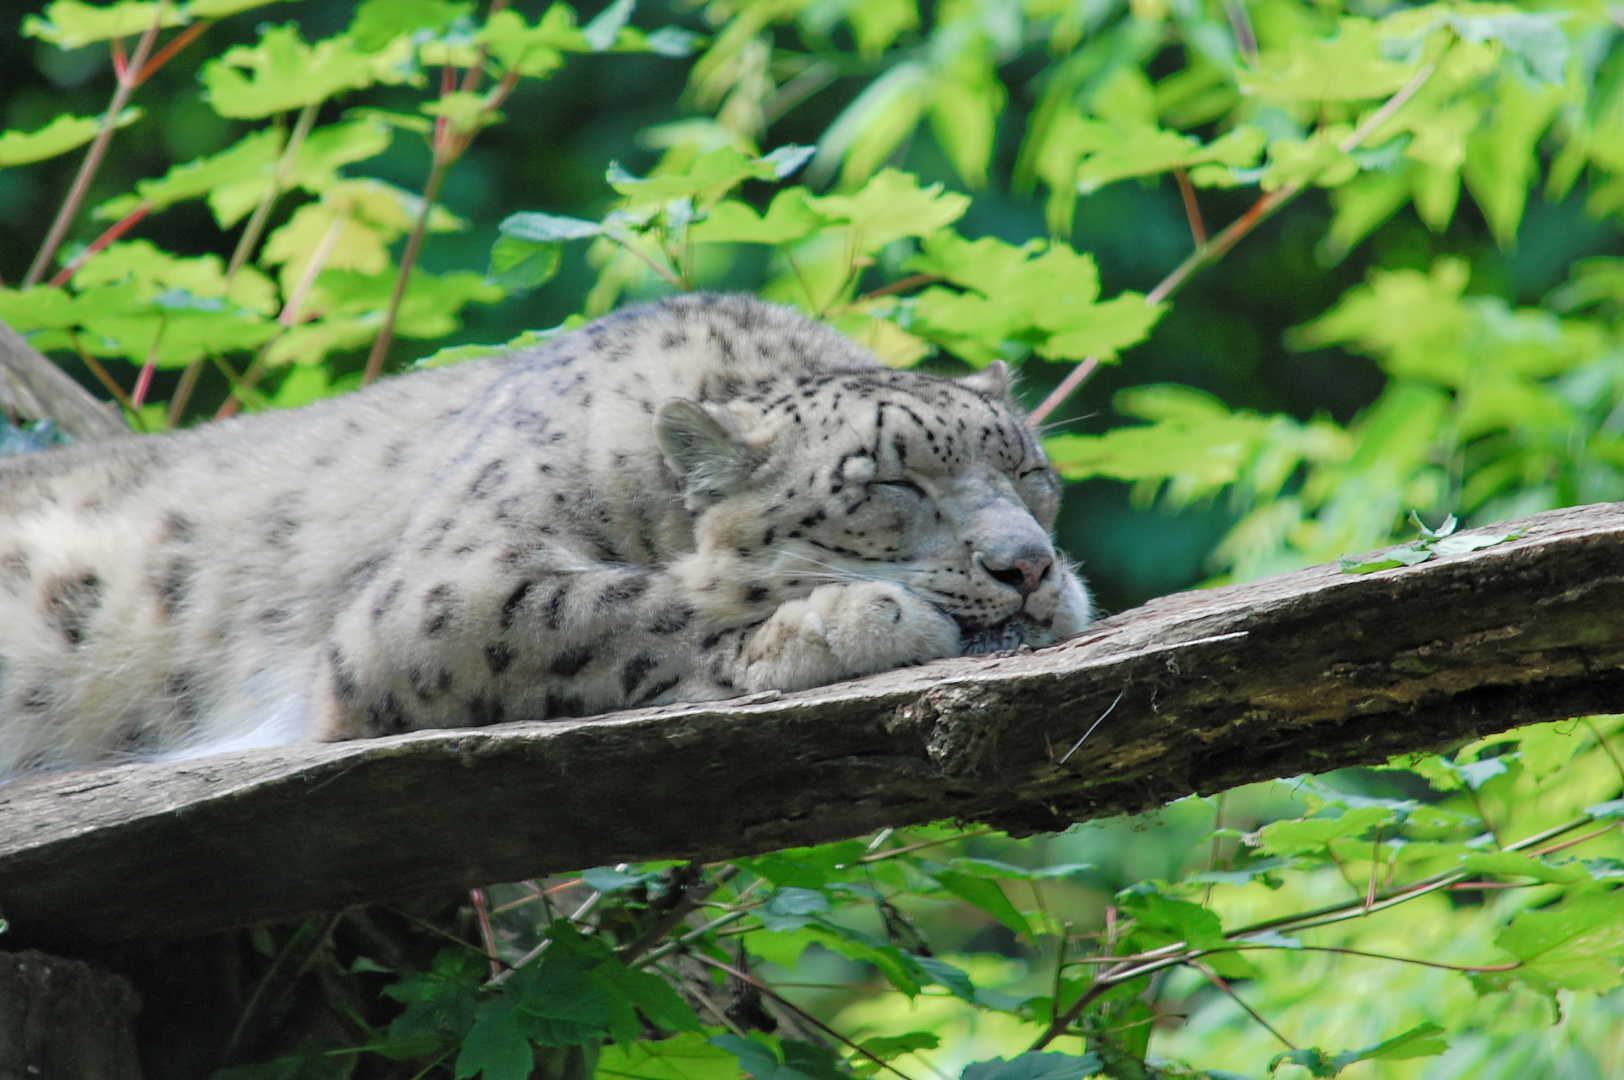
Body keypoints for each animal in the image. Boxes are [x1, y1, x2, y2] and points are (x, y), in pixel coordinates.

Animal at [3, 290, 1091, 769]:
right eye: (893, 482)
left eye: (1028, 472)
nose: (1030, 566)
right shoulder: (439, 597)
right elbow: (620, 607)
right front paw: (854, 620)